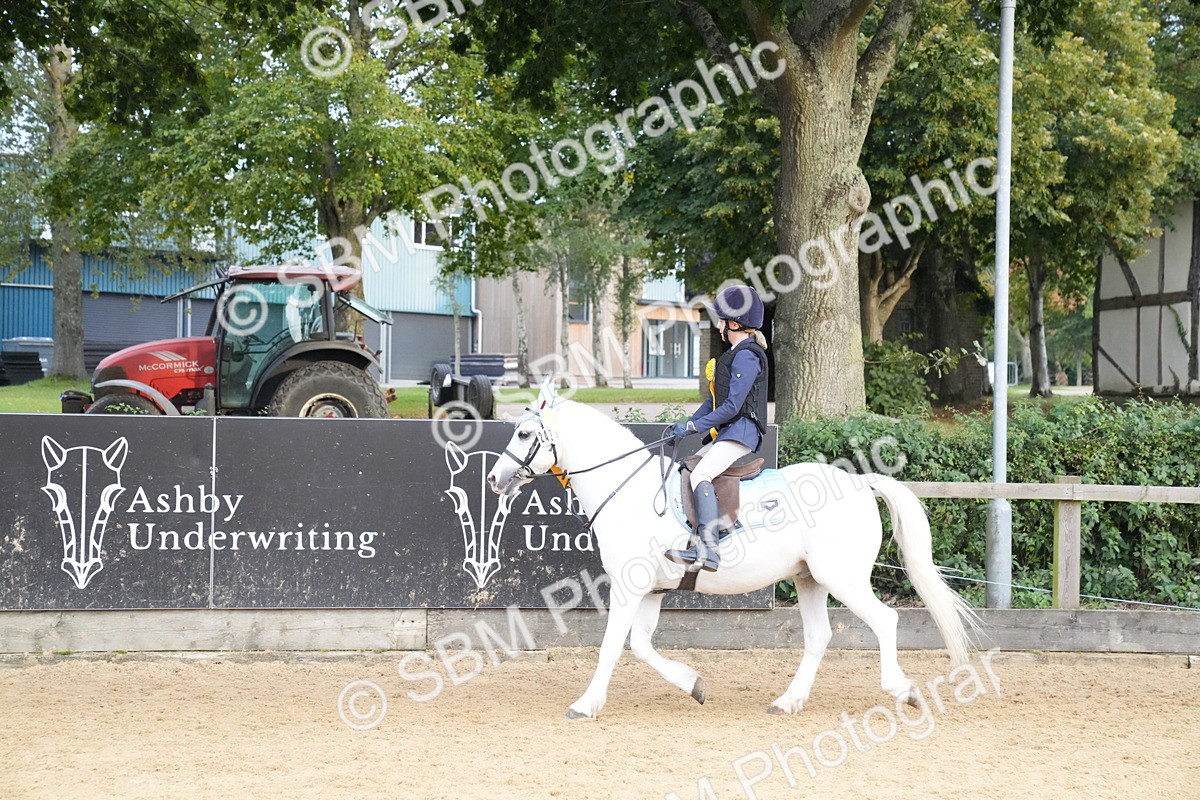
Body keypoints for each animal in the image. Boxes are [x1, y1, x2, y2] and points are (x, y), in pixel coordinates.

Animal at [487, 381, 977, 719]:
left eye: (525, 433)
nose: (494, 479)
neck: (627, 490)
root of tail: (859, 482)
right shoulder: (650, 591)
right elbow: (641, 646)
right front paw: (693, 685)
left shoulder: (629, 588)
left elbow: (611, 647)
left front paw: (586, 704)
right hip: (809, 580)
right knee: (818, 637)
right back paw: (787, 701)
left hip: (842, 579)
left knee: (885, 620)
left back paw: (903, 690)